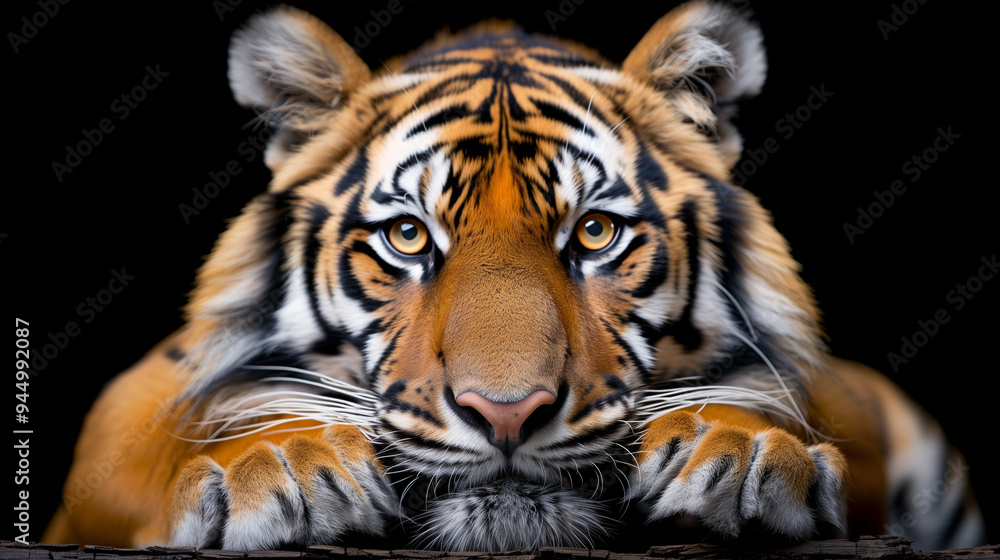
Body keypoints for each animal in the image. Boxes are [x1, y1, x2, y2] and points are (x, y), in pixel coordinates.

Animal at [42, 1, 987, 553]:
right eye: (408, 236)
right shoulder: (130, 404)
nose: (506, 413)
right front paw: (278, 463)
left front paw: (745, 450)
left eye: (595, 232)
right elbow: (149, 441)